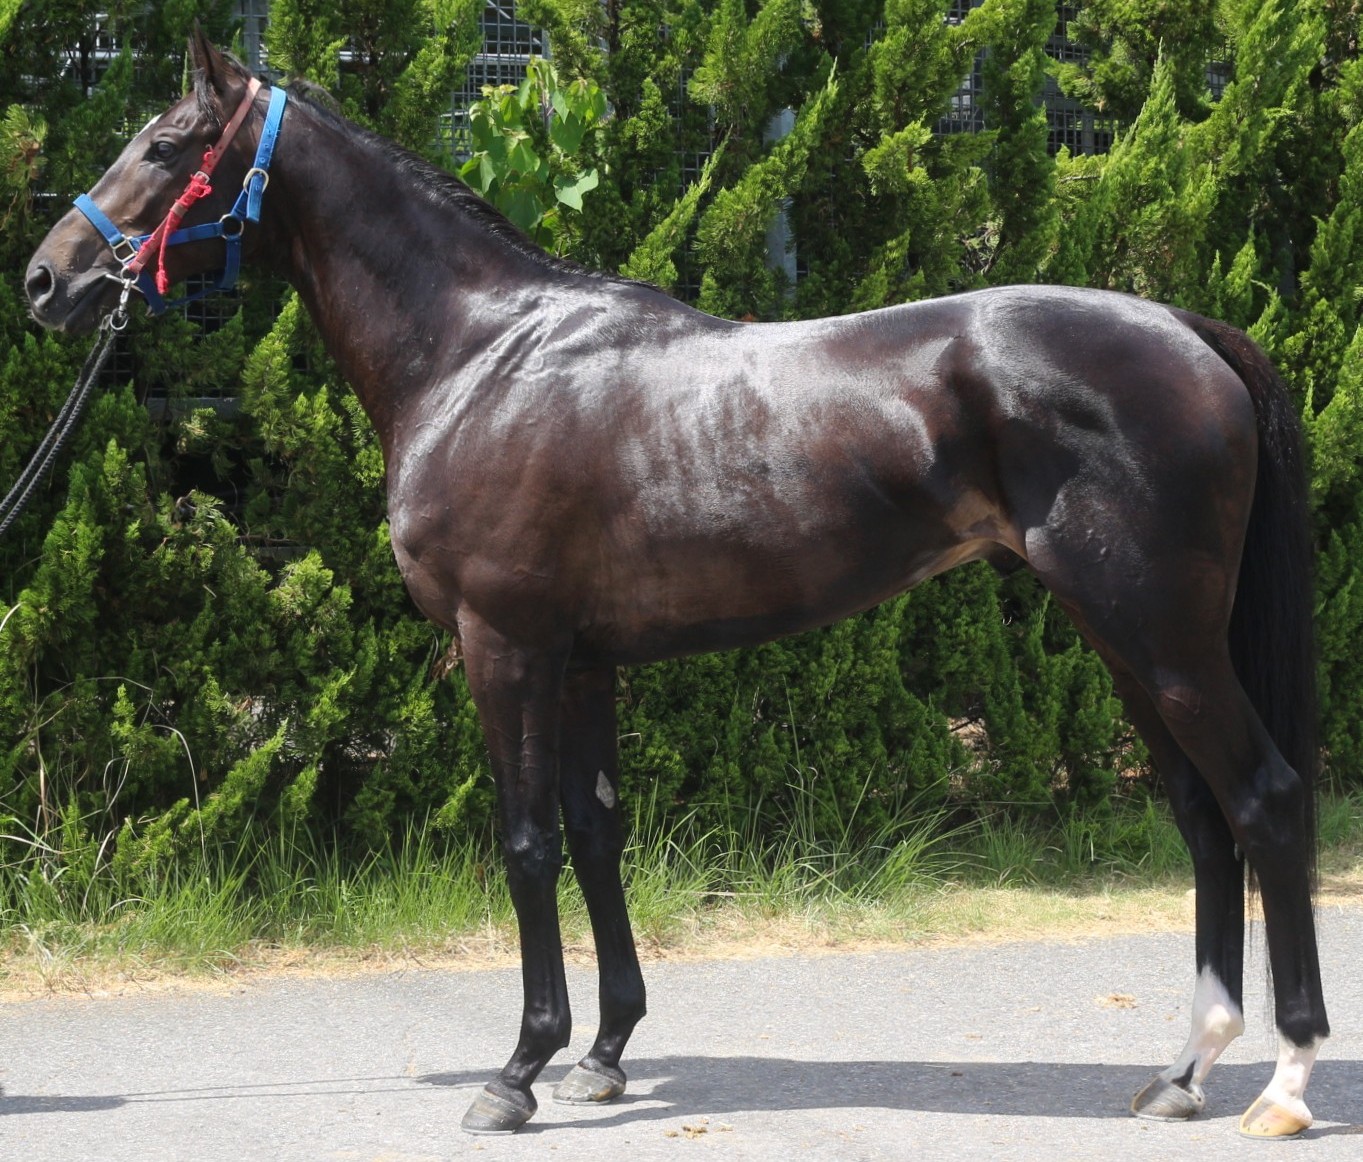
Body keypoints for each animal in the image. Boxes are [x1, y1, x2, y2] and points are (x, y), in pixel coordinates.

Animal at [25, 32, 1328, 1138]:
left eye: (165, 146)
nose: (44, 281)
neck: (482, 354)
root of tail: (1185, 327)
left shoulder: (505, 645)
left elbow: (526, 843)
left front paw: (516, 1072)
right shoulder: (584, 658)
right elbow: (598, 831)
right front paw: (602, 1055)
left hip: (1154, 632)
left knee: (1264, 799)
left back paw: (1283, 1080)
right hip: (1126, 638)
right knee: (1201, 815)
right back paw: (1182, 1070)